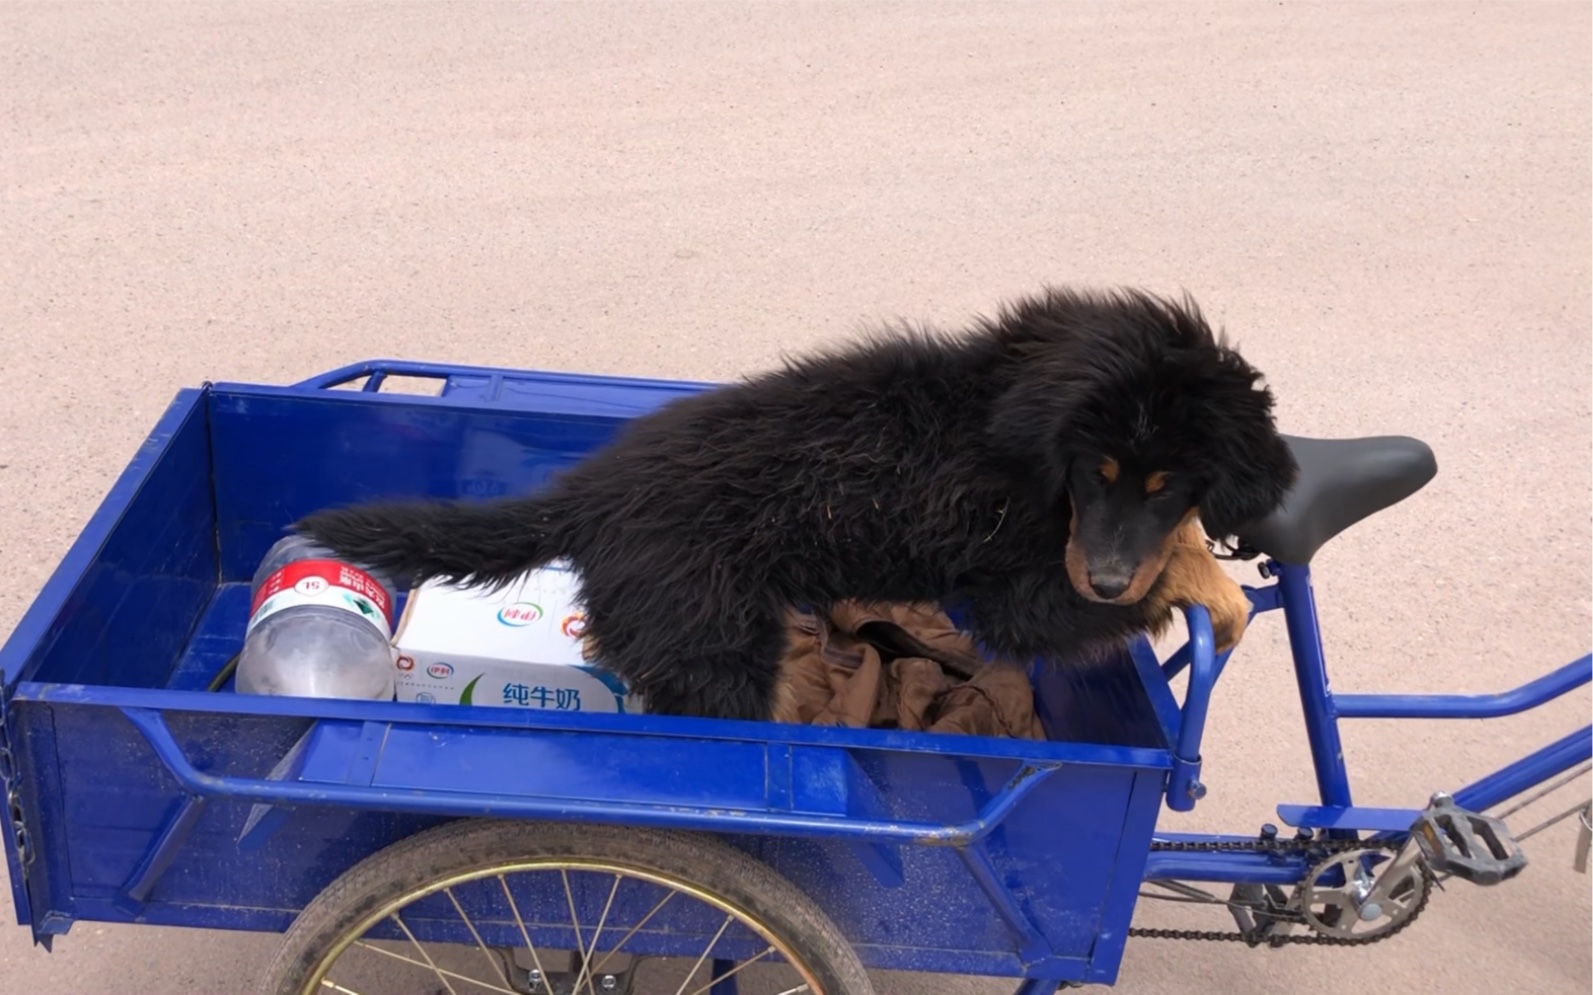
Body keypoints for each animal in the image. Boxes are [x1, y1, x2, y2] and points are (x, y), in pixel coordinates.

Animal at [296, 286, 1293, 722]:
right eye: (1094, 470)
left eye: (1170, 483)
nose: (1109, 580)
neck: (1004, 411)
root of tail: (592, 492)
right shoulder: (1019, 591)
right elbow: (1114, 592)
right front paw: (1212, 592)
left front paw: (1200, 560)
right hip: (715, 639)